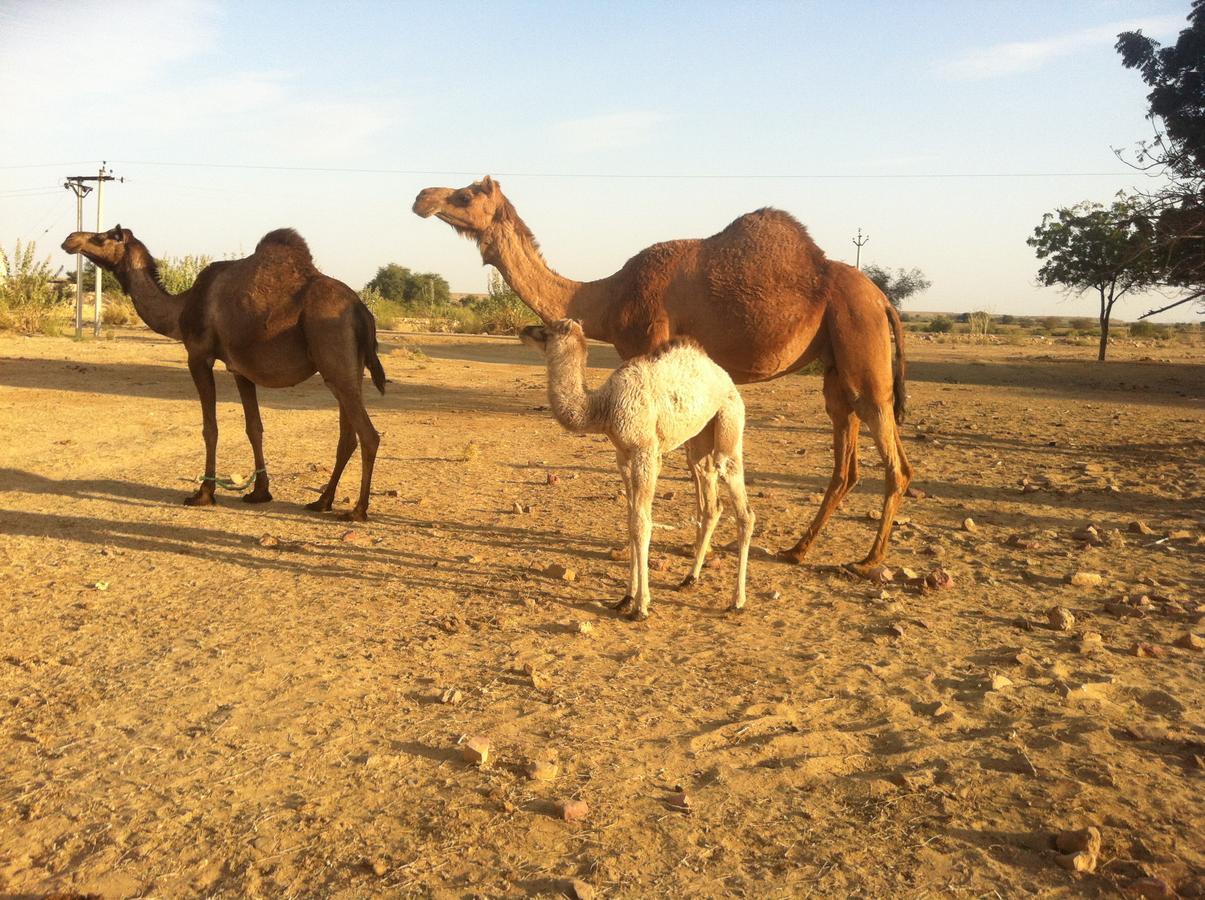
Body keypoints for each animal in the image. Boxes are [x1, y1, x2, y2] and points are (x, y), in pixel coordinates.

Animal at [61, 224, 385, 520]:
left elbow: (210, 428)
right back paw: (322, 501)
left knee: (368, 434)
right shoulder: (240, 369)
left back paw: (357, 510)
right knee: (348, 436)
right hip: (347, 369)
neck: (179, 310)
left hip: (333, 356)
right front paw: (259, 492)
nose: (70, 239)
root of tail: (362, 311)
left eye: (102, 236)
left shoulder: (198, 356)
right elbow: (254, 428)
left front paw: (203, 493)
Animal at [414, 175, 910, 578]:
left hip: (862, 344)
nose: (422, 197)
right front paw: (692, 549)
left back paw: (868, 560)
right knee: (845, 458)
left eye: (464, 194)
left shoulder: (648, 347)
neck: (606, 298)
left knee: (893, 455)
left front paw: (636, 552)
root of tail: (883, 299)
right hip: (836, 369)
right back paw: (797, 550)